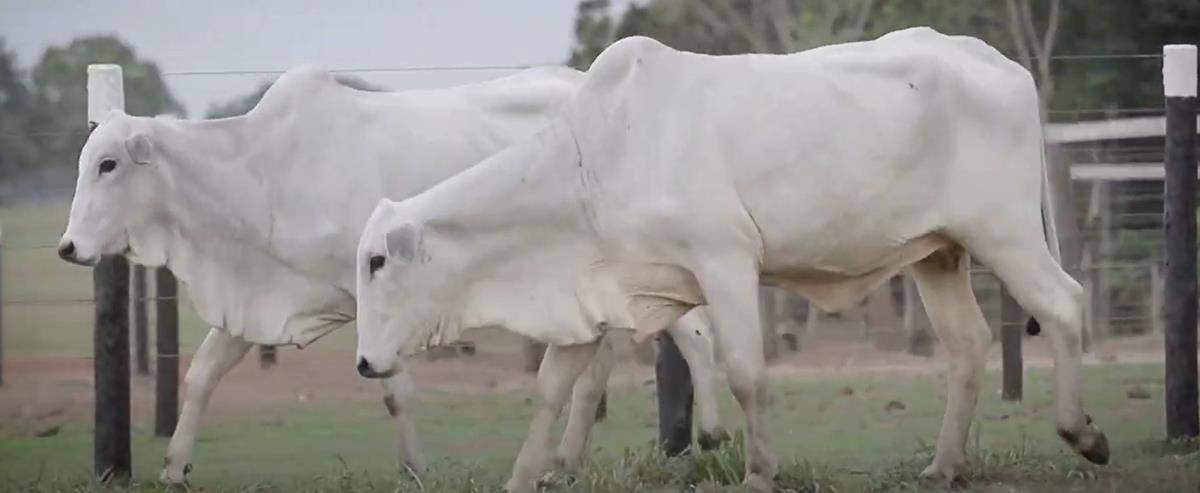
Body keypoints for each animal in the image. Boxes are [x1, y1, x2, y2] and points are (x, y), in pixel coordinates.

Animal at [56, 65, 727, 484]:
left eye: (109, 164)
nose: (66, 246)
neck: (258, 172)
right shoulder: (262, 298)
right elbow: (200, 377)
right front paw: (174, 466)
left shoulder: (376, 296)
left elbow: (393, 390)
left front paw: (415, 469)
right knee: (598, 366)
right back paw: (566, 460)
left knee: (695, 335)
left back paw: (713, 435)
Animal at [353, 27, 1111, 492]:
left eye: (376, 262)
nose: (362, 363)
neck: (589, 166)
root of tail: (999, 63)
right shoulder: (596, 296)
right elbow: (549, 390)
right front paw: (521, 476)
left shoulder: (725, 263)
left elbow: (746, 373)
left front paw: (759, 472)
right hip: (938, 254)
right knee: (968, 346)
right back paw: (943, 465)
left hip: (1005, 231)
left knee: (1066, 305)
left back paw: (1082, 433)